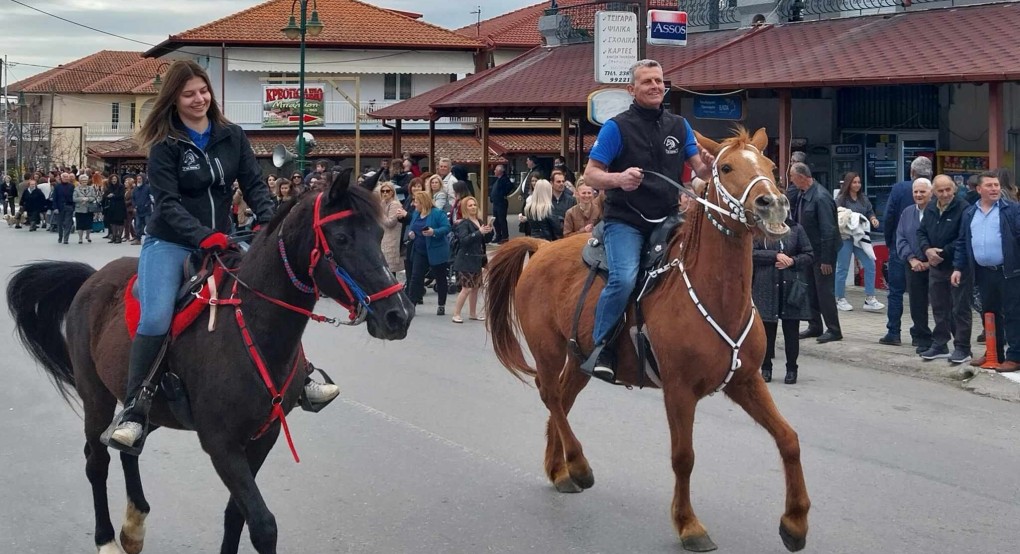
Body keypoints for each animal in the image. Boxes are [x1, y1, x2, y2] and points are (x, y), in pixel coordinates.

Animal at [6, 170, 414, 554]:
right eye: (342, 238)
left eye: (380, 233)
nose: (399, 315)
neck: (254, 326)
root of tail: (93, 278)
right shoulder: (221, 443)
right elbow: (263, 525)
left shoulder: (263, 436)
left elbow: (238, 515)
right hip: (96, 396)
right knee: (97, 460)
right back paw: (106, 538)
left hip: (152, 410)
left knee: (127, 447)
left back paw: (134, 525)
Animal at [485, 129, 811, 550]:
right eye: (725, 167)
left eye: (771, 166)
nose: (774, 205)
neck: (716, 295)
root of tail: (542, 247)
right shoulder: (679, 390)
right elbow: (683, 457)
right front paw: (689, 524)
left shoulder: (746, 380)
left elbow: (789, 438)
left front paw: (795, 522)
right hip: (548, 348)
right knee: (551, 396)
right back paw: (579, 465)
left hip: (579, 359)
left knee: (562, 401)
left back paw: (560, 470)